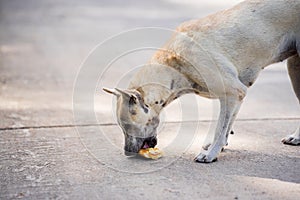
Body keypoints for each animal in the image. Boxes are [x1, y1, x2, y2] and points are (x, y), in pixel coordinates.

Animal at [103, 0, 300, 162]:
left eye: (127, 126)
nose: (127, 152)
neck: (174, 64)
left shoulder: (233, 93)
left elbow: (220, 128)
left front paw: (211, 153)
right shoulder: (236, 97)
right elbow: (226, 126)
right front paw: (217, 146)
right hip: (294, 67)